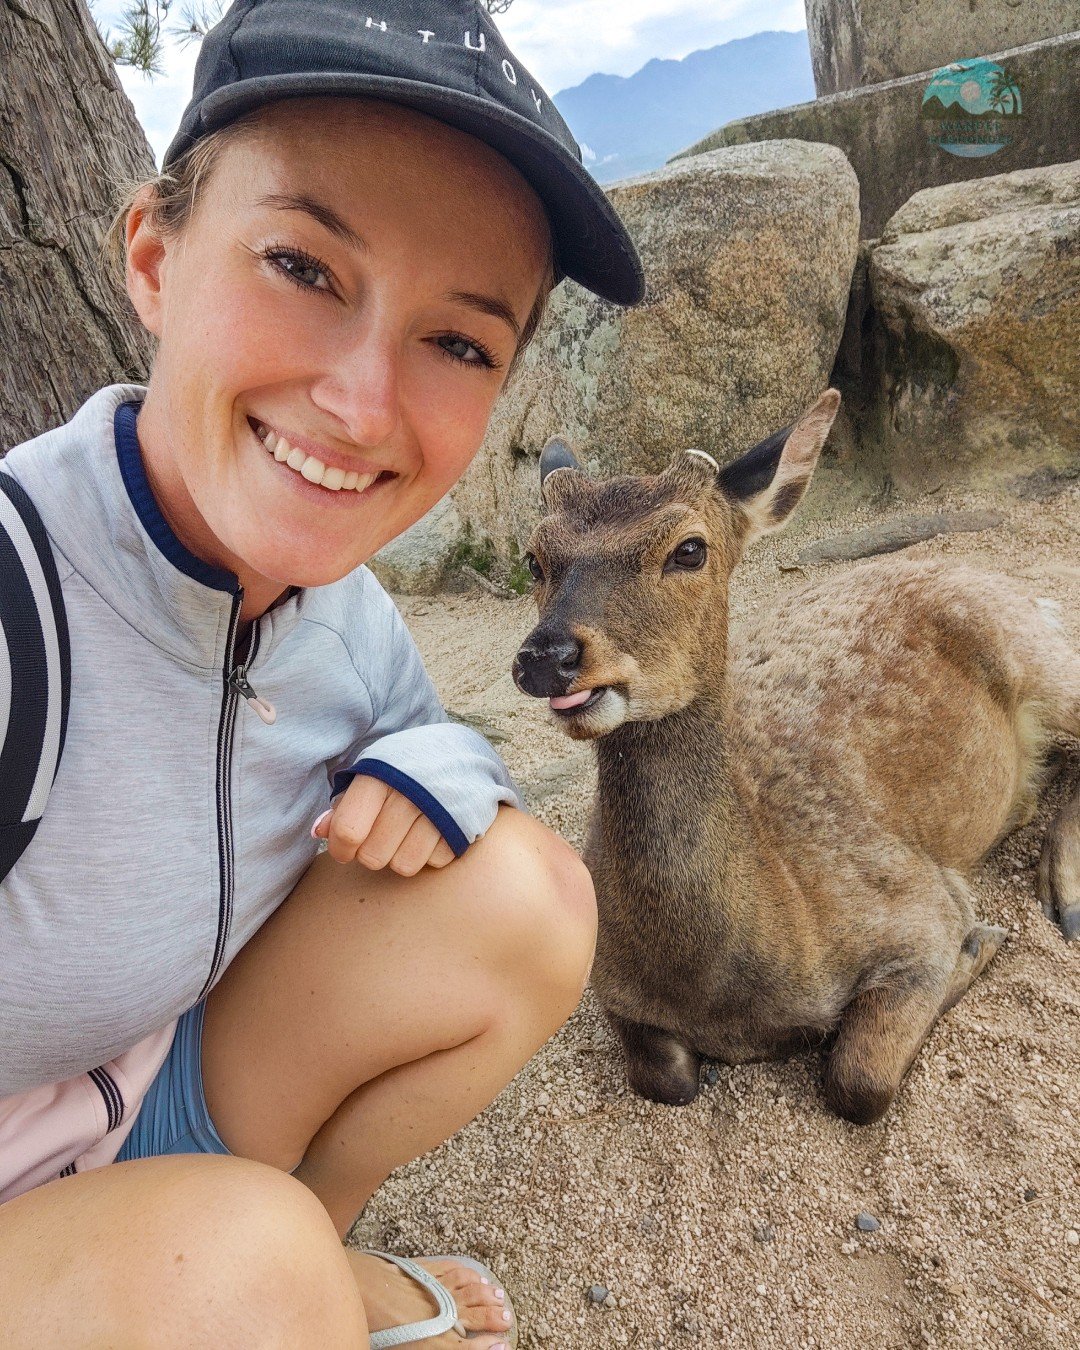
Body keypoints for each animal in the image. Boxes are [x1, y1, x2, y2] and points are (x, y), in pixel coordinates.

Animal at [511, 390, 1080, 1124]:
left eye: (689, 549)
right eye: (533, 558)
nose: (547, 656)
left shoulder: (914, 912)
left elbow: (859, 1078)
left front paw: (981, 941)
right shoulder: (610, 988)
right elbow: (663, 1078)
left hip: (1034, 646)